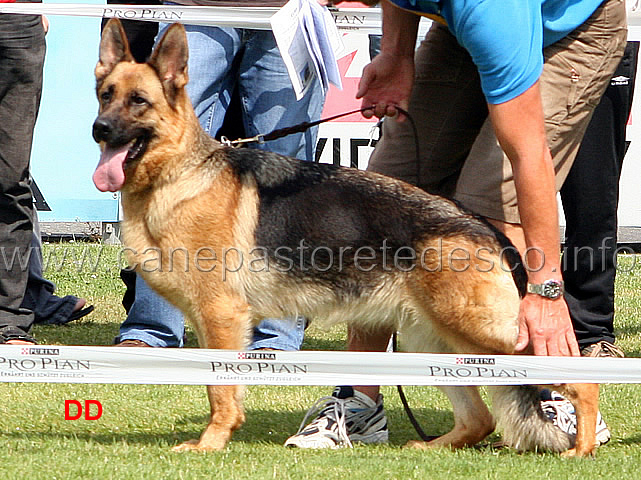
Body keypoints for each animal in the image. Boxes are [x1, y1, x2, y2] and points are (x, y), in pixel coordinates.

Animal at [91, 18, 600, 458]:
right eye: (105, 96)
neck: (178, 174)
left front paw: (211, 443)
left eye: (139, 101)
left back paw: (583, 446)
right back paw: (431, 448)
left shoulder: (221, 317)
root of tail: (481, 226)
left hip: (481, 332)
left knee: (579, 377)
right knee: (480, 418)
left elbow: (221, 390)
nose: (99, 129)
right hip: (433, 342)